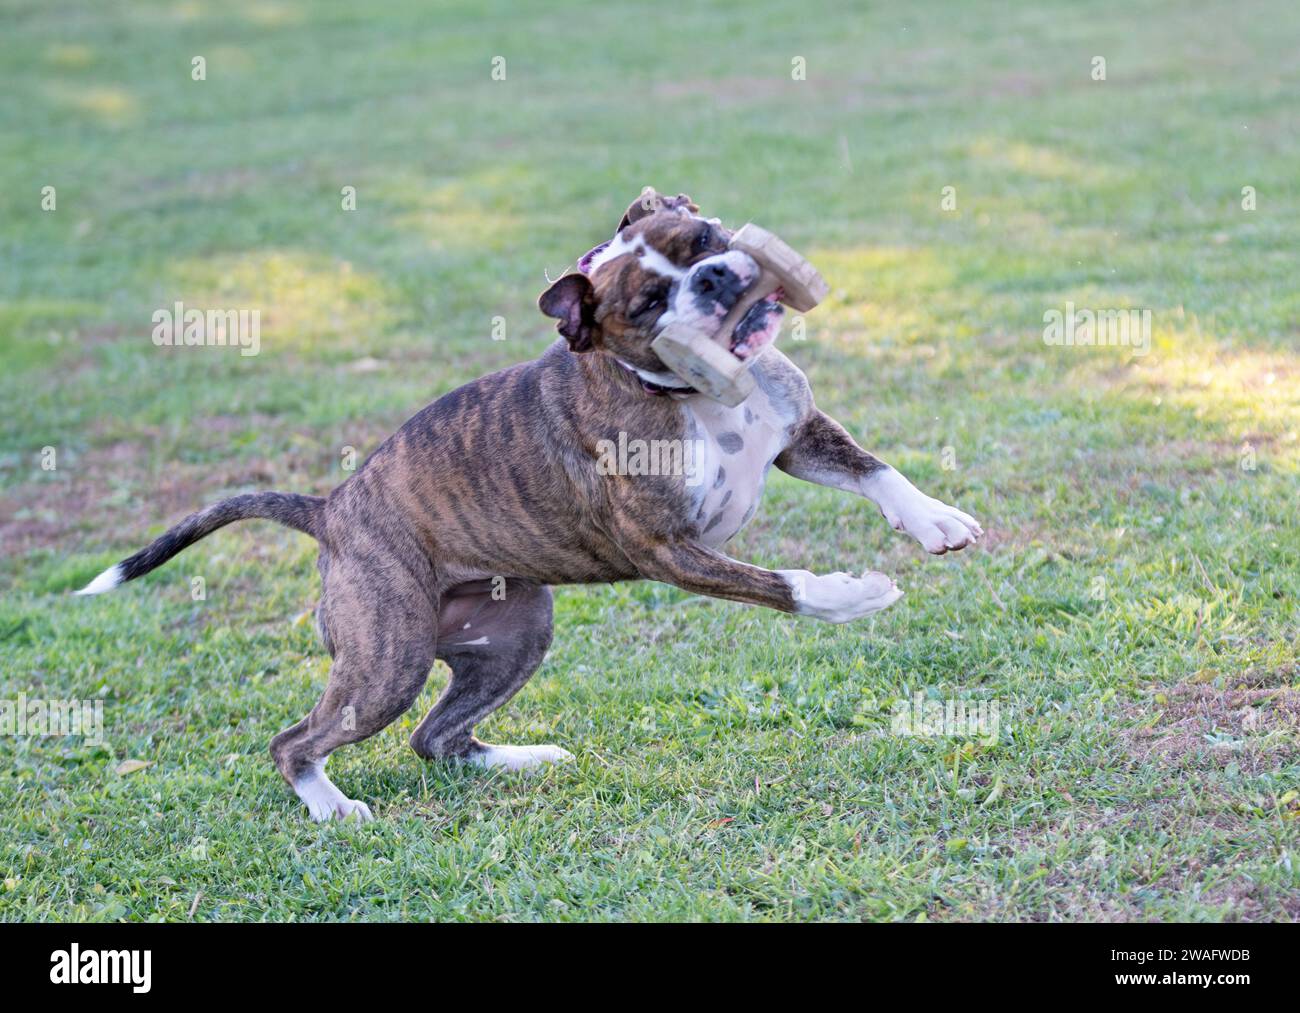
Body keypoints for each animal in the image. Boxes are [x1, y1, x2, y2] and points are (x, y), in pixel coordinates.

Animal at [76, 192, 977, 821]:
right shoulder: (667, 548)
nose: (718, 275)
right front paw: (854, 593)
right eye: (647, 304)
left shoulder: (797, 437)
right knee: (296, 740)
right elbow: (782, 585)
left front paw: (936, 520)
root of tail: (331, 509)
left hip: (514, 634)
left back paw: (523, 758)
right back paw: (331, 805)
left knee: (435, 737)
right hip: (387, 660)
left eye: (704, 241)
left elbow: (878, 472)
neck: (700, 393)